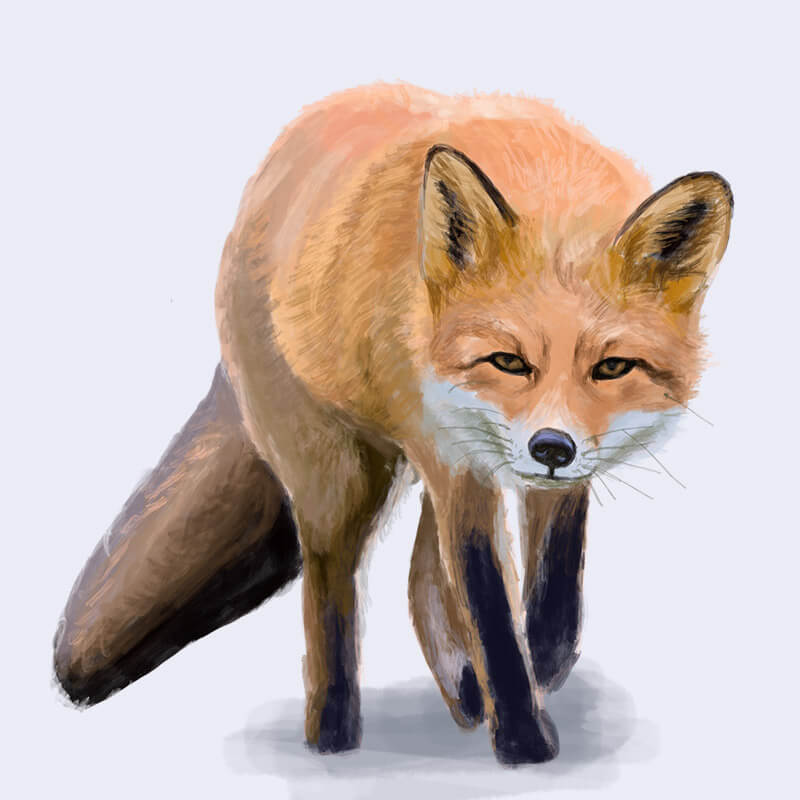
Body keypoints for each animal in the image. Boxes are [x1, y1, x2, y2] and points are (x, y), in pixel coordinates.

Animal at [53, 83, 732, 765]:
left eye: (612, 367)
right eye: (509, 362)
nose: (551, 448)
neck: (549, 183)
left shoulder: (531, 469)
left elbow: (554, 586)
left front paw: (541, 664)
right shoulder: (459, 464)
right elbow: (488, 608)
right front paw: (522, 738)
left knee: (419, 577)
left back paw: (463, 694)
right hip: (341, 484)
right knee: (331, 595)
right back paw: (333, 734)